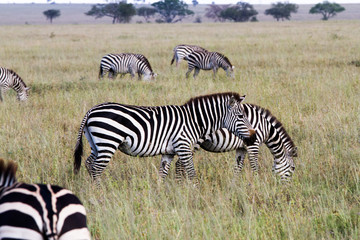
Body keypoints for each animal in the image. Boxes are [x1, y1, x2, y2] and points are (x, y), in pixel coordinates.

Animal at [74, 92, 258, 184]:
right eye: (241, 116)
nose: (254, 136)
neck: (194, 120)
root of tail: (91, 110)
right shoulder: (183, 146)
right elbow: (191, 173)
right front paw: (195, 193)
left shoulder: (168, 152)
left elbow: (162, 174)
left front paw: (160, 195)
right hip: (108, 142)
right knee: (96, 168)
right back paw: (99, 193)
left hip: (96, 143)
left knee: (89, 163)